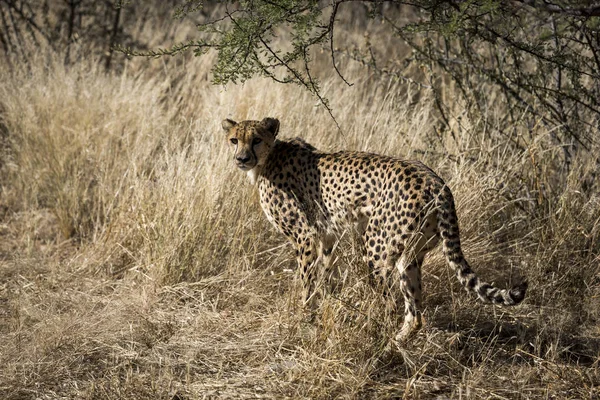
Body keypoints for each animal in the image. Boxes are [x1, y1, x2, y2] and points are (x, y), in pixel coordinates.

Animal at [223, 117, 528, 342]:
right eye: (234, 140)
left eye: (256, 139)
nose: (241, 158)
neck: (268, 158)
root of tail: (434, 180)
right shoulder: (327, 236)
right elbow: (324, 275)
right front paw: (322, 308)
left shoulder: (305, 236)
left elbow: (306, 282)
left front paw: (303, 317)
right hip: (411, 254)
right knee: (415, 312)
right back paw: (396, 342)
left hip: (376, 248)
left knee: (389, 303)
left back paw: (372, 332)